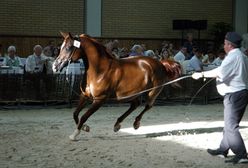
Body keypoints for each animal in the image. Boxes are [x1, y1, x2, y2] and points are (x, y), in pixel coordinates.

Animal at [53, 32, 181, 140]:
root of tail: (161, 63)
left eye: (68, 47)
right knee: (135, 105)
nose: (55, 66)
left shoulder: (99, 100)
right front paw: (85, 127)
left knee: (147, 106)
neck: (100, 70)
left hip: (153, 91)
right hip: (133, 93)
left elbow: (84, 116)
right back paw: (117, 124)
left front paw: (75, 134)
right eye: (61, 47)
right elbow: (75, 114)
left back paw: (136, 123)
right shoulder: (84, 95)